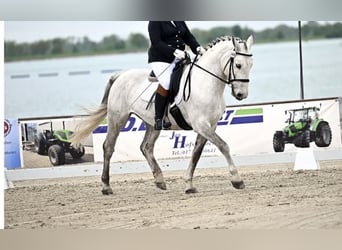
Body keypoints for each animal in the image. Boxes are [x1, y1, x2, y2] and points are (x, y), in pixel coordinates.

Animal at [71, 35, 254, 195]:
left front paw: (189, 185)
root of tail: (120, 75)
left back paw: (159, 181)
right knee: (108, 147)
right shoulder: (201, 125)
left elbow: (196, 154)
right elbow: (223, 146)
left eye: (251, 65)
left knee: (146, 147)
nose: (241, 95)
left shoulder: (210, 125)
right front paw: (237, 180)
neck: (206, 83)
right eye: (238, 65)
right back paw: (106, 186)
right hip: (118, 119)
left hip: (152, 123)